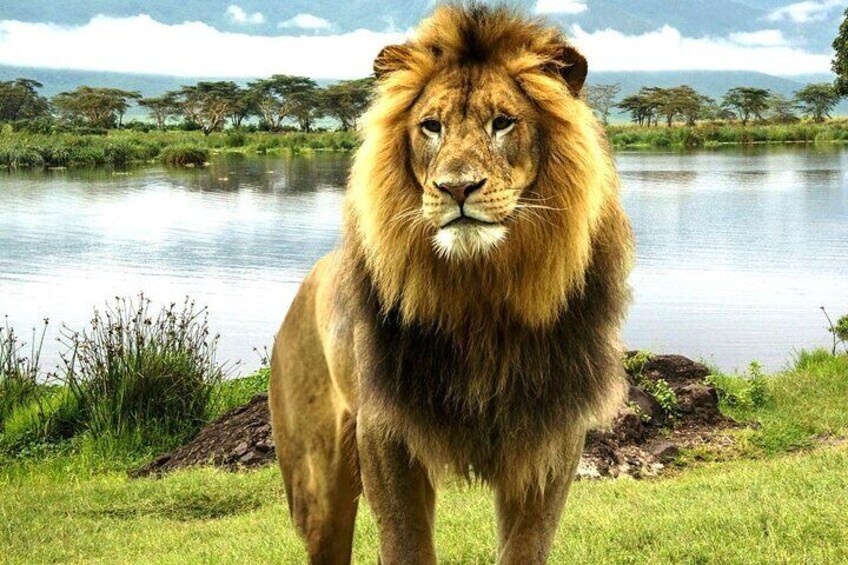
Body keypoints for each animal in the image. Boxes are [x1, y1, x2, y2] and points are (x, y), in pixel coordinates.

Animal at [268, 4, 634, 564]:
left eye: (502, 122)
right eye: (431, 126)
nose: (457, 188)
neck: (478, 293)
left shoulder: (550, 434)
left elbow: (525, 546)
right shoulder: (386, 430)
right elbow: (405, 544)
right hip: (317, 483)